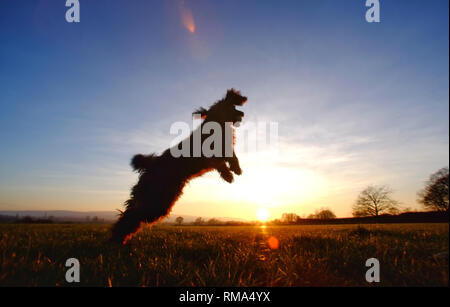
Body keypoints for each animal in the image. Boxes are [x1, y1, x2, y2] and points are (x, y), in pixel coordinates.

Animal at [111, 89, 248, 245]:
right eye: (231, 108)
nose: (242, 113)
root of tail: (151, 164)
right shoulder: (212, 155)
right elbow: (222, 163)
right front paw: (229, 175)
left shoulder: (226, 150)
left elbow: (233, 158)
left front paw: (236, 169)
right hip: (158, 201)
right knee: (133, 216)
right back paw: (117, 239)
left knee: (130, 212)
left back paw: (118, 238)